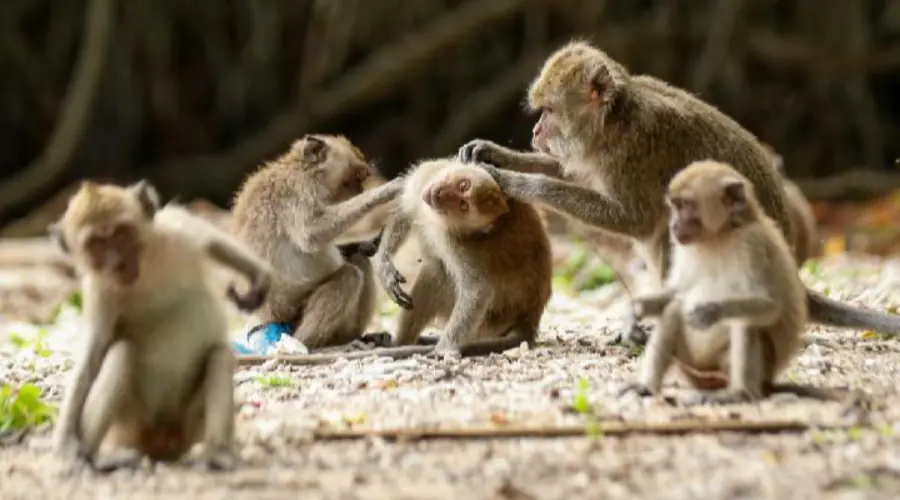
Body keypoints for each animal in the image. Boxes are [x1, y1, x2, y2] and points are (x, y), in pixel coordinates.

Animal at [49, 181, 272, 472]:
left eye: (121, 233)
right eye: (96, 244)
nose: (118, 263)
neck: (144, 272)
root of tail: (161, 441)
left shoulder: (174, 232)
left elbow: (211, 241)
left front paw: (259, 276)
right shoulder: (99, 292)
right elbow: (91, 359)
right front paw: (65, 443)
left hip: (189, 426)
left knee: (219, 355)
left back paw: (217, 454)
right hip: (130, 427)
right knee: (121, 352)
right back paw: (95, 456)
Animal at [374, 157, 556, 356]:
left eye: (463, 205)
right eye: (463, 185)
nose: (439, 194)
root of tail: (529, 319)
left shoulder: (457, 241)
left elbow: (477, 289)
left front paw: (444, 349)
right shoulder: (428, 176)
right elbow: (405, 212)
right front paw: (384, 266)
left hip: (487, 324)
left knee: (433, 271)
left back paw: (401, 343)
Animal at [460, 40, 900, 344]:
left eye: (549, 111)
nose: (536, 132)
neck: (615, 122)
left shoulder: (635, 152)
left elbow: (632, 220)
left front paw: (515, 181)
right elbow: (573, 171)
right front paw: (494, 152)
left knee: (671, 230)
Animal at [620, 162, 836, 404]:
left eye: (686, 204)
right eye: (675, 206)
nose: (674, 225)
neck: (719, 236)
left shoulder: (753, 245)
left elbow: (770, 305)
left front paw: (709, 312)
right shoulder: (682, 248)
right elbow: (676, 294)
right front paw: (633, 312)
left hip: (751, 367)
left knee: (745, 321)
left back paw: (739, 393)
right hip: (691, 364)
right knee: (674, 309)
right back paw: (647, 386)